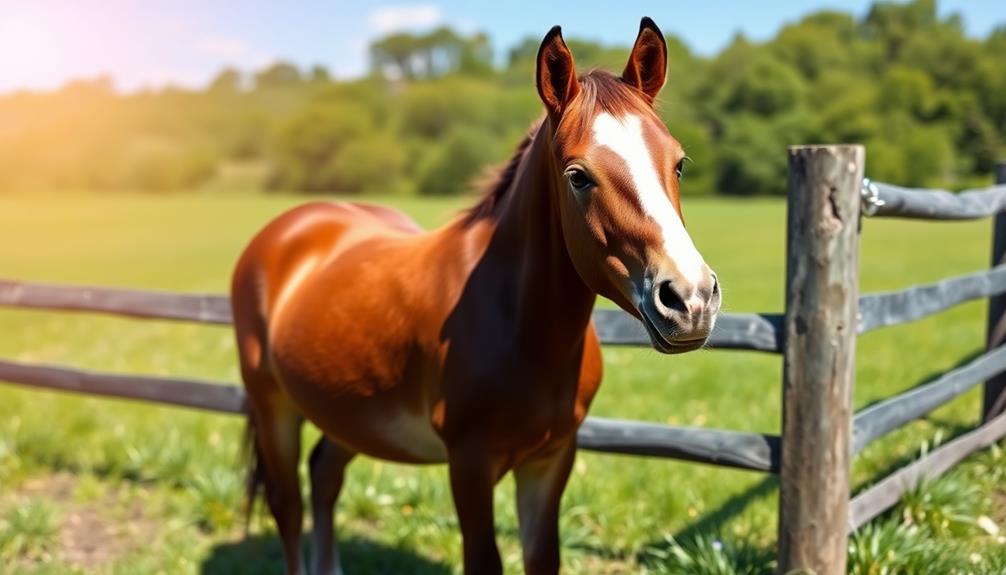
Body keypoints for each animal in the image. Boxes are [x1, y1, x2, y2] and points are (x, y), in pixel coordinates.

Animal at [231, 16, 720, 575]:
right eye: (578, 176)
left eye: (679, 164)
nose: (690, 300)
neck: (516, 323)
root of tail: (288, 229)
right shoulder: (469, 464)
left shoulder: (550, 460)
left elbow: (543, 557)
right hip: (274, 406)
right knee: (288, 507)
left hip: (348, 411)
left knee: (325, 475)